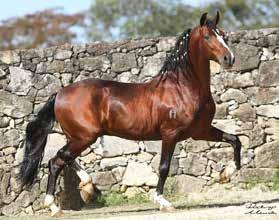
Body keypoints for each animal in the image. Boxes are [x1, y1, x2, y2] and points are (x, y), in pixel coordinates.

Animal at [19, 11, 241, 216]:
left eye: (223, 35)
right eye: (207, 37)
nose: (229, 59)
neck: (183, 88)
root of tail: (60, 93)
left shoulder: (200, 131)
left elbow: (234, 140)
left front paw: (227, 173)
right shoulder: (170, 134)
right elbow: (164, 167)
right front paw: (163, 202)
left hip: (78, 136)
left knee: (64, 158)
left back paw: (86, 187)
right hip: (85, 136)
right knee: (56, 161)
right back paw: (54, 207)